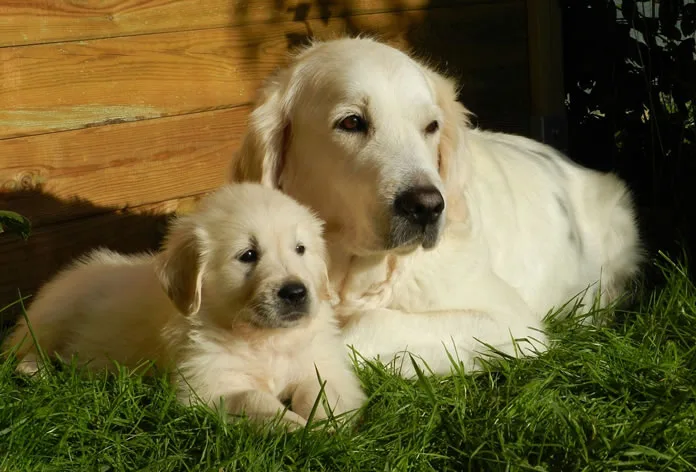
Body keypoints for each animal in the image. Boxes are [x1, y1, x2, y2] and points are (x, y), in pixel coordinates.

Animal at [2, 183, 364, 430]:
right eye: (248, 255)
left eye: (300, 249)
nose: (295, 292)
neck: (262, 339)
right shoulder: (205, 386)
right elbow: (254, 398)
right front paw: (296, 427)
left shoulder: (323, 364)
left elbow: (320, 391)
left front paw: (327, 425)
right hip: (54, 311)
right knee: (21, 347)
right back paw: (35, 369)